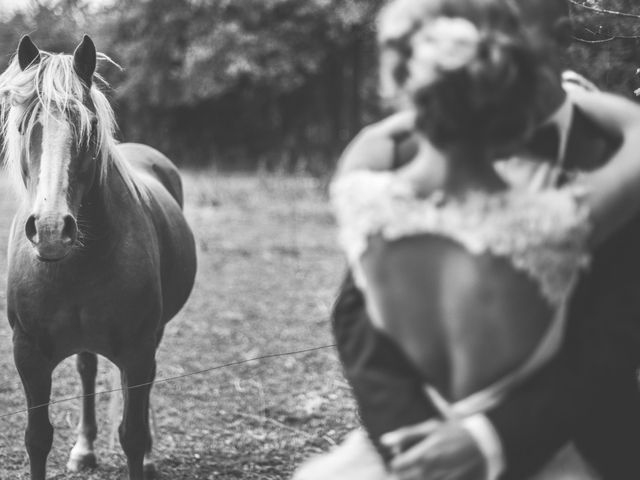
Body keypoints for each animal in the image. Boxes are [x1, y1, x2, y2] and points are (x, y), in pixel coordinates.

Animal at [0, 35, 198, 478]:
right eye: (24, 126)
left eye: (88, 126)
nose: (51, 229)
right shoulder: (29, 356)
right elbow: (37, 439)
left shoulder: (138, 351)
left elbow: (132, 434)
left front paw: (144, 452)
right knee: (87, 371)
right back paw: (84, 448)